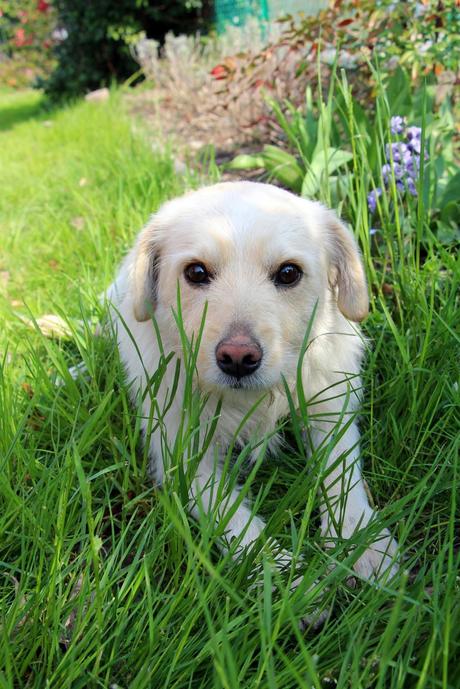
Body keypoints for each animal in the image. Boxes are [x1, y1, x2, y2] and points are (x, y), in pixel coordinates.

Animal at [107, 180, 398, 584]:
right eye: (196, 272)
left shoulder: (330, 413)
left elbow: (343, 474)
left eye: (288, 273)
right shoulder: (184, 459)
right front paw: (281, 575)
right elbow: (233, 517)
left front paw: (361, 541)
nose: (238, 359)